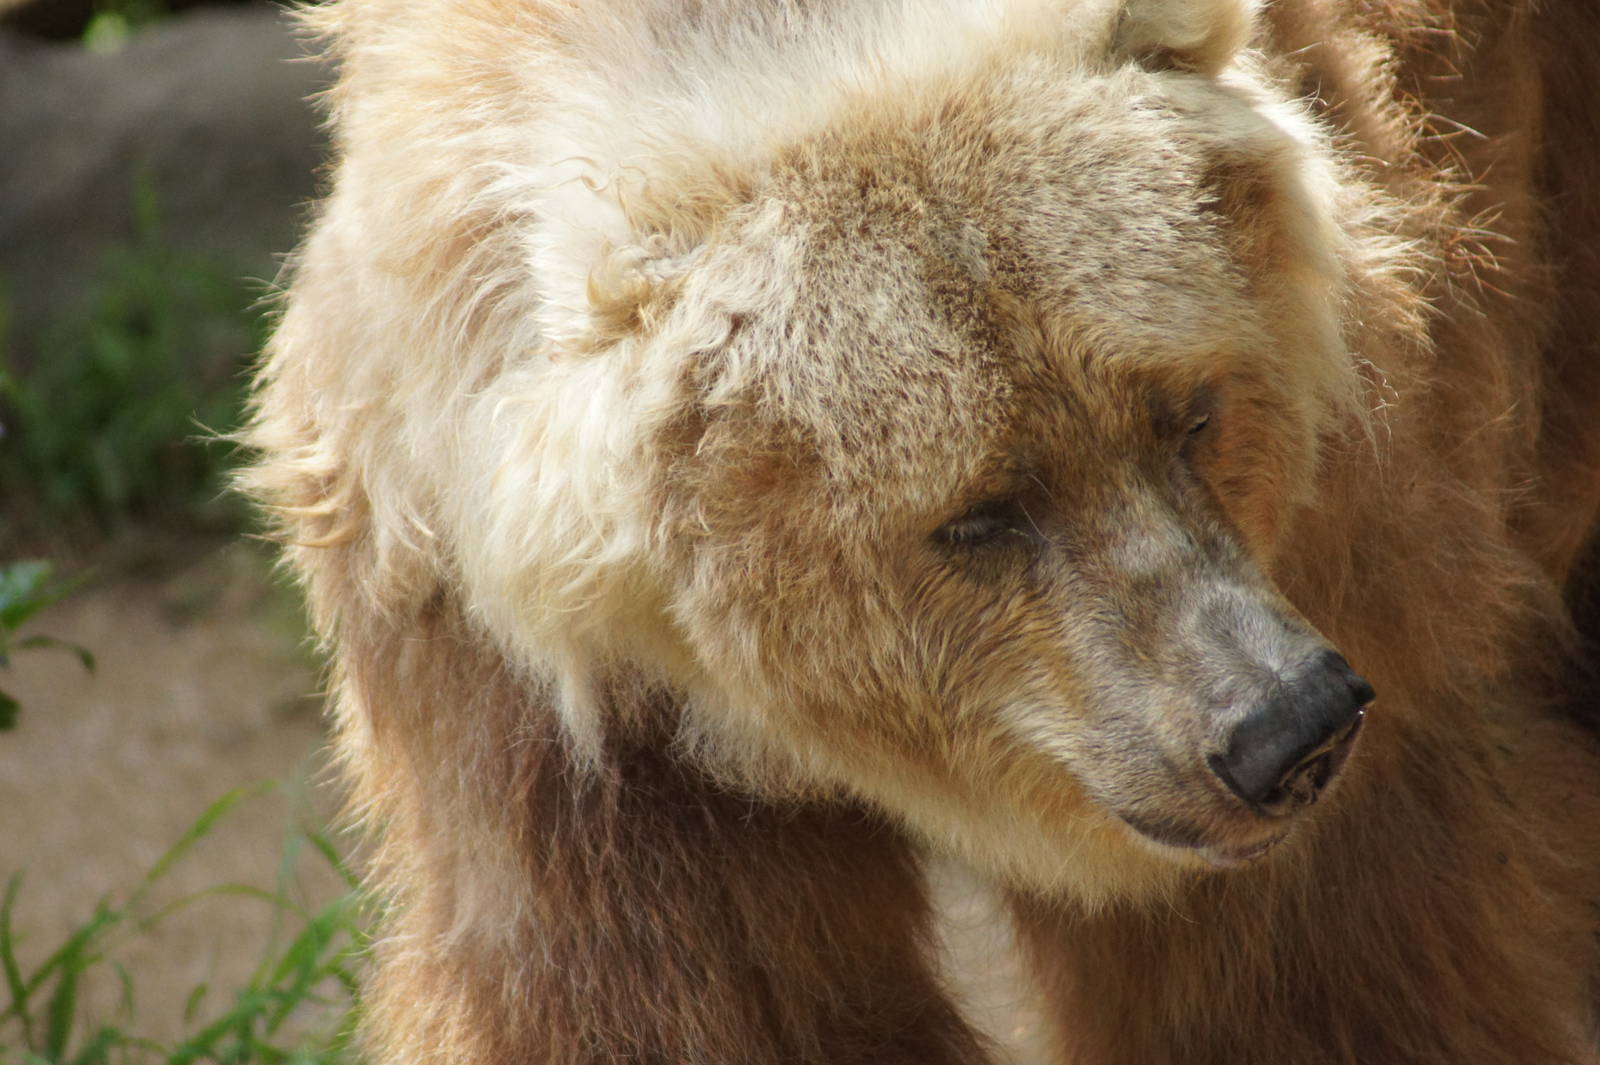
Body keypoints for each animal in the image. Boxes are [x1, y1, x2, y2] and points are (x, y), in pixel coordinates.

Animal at [245, 0, 1600, 1062]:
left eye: (1191, 413)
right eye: (979, 515)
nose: (1284, 728)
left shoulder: (1348, 512)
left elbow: (1326, 962)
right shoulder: (537, 702)